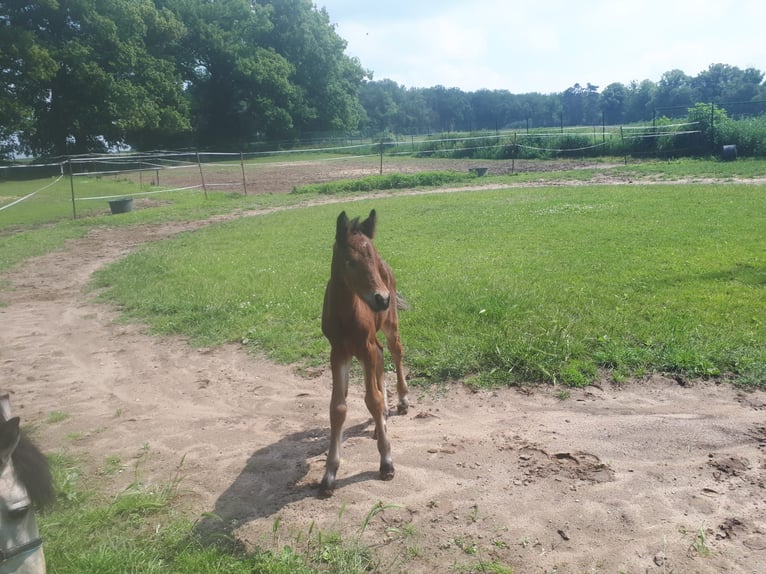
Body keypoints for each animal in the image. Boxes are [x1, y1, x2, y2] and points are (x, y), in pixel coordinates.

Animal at [320, 209, 412, 498]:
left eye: (371, 255)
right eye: (350, 261)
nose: (381, 298)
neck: (345, 315)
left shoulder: (364, 348)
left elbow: (372, 399)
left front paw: (386, 463)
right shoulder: (339, 352)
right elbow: (338, 407)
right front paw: (329, 474)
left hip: (389, 323)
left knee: (395, 350)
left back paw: (402, 401)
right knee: (383, 357)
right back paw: (383, 418)